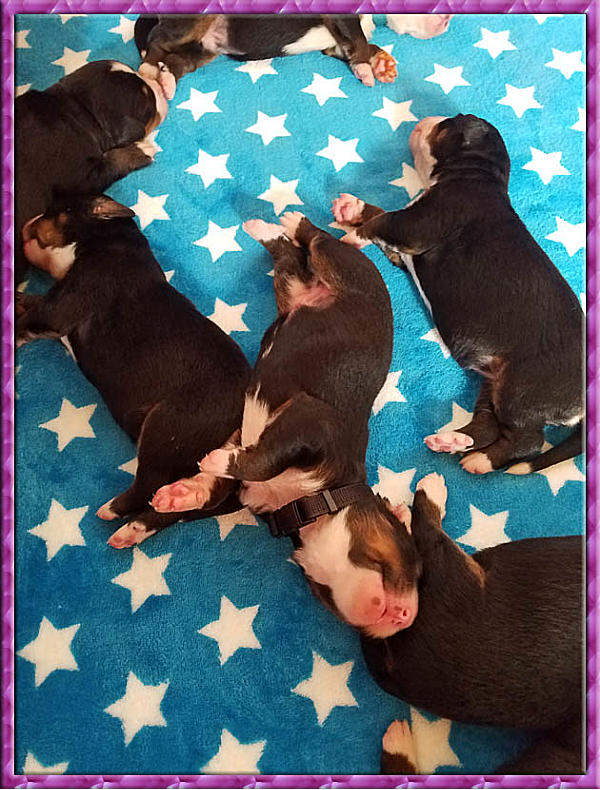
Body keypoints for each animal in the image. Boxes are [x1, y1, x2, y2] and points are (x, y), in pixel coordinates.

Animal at [15, 59, 172, 283]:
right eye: (148, 99)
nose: (155, 83)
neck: (76, 110)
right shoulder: (80, 179)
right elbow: (113, 162)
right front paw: (142, 149)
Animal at [16, 194, 251, 548]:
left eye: (59, 209)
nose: (26, 224)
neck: (109, 241)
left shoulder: (63, 304)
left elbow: (24, 315)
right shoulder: (52, 305)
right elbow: (25, 301)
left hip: (167, 425)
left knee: (150, 485)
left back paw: (117, 512)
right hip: (205, 449)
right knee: (209, 492)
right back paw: (159, 511)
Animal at [151, 211, 422, 637]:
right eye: (412, 559)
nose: (403, 619)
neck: (311, 500)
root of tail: (314, 293)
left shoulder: (265, 458)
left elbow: (224, 478)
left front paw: (181, 492)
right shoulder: (312, 422)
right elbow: (256, 461)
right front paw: (203, 471)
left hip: (290, 284)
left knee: (288, 259)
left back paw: (264, 228)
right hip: (348, 268)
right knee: (318, 241)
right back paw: (292, 220)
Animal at [332, 114, 584, 474]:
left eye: (448, 123)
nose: (424, 120)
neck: (481, 176)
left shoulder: (421, 223)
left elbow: (385, 220)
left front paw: (353, 236)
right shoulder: (406, 244)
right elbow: (379, 212)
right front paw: (351, 208)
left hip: (521, 390)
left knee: (527, 441)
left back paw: (481, 460)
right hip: (493, 382)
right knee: (488, 425)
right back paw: (453, 441)